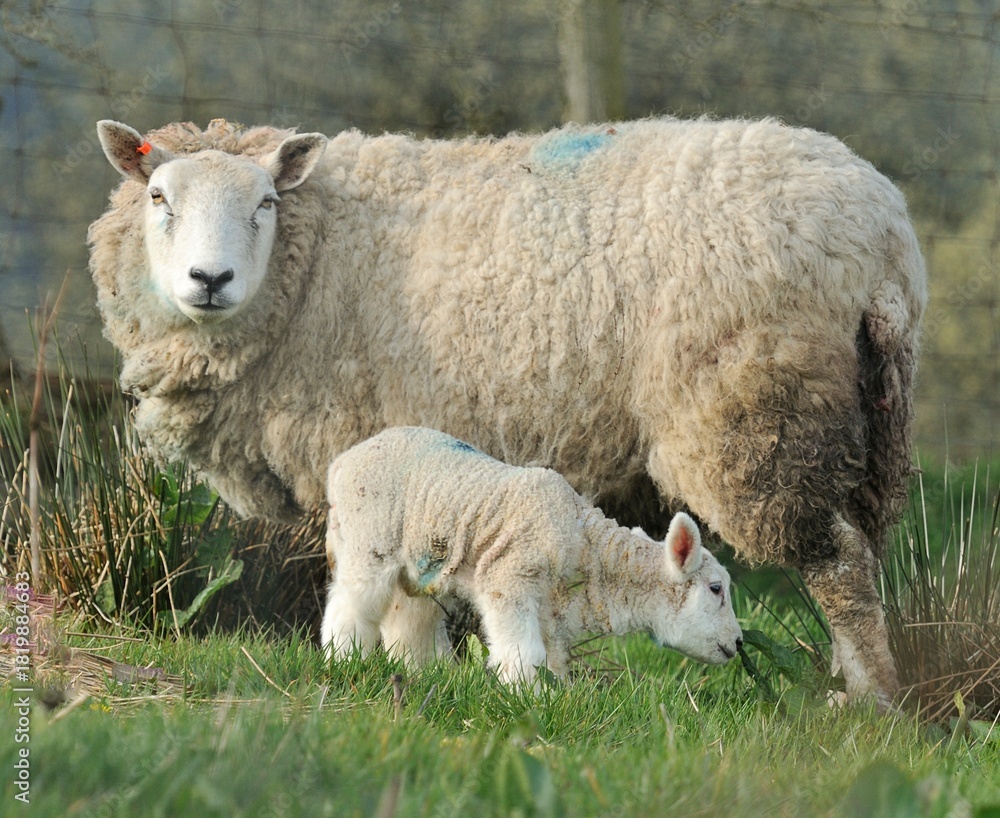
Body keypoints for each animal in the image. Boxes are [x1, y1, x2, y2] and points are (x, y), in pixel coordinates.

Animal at [320, 426, 743, 684]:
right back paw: (343, 661)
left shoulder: (552, 608)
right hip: (368, 540)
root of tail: (341, 462)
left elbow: (550, 655)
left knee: (408, 619)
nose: (739, 644)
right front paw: (527, 696)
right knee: (351, 606)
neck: (587, 550)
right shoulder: (510, 578)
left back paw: (425, 673)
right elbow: (522, 652)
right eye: (716, 588)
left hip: (420, 566)